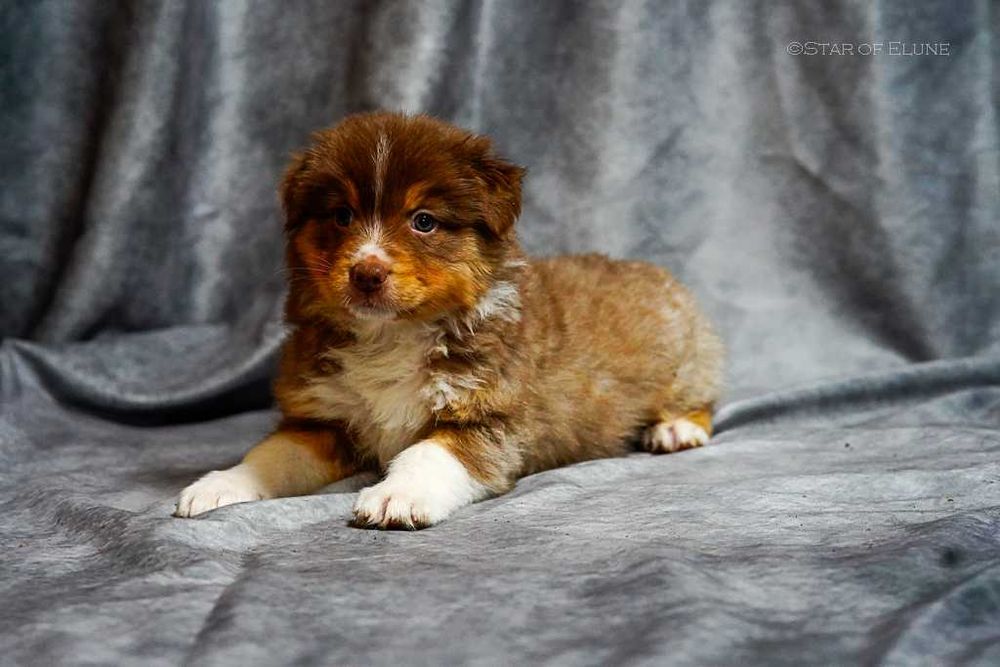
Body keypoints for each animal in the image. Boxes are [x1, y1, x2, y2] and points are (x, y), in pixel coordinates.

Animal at [175, 112, 724, 529]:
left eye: (424, 221)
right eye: (341, 215)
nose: (366, 272)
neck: (392, 334)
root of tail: (654, 271)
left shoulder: (489, 415)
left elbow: (430, 452)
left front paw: (397, 495)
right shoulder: (322, 419)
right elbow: (270, 456)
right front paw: (218, 485)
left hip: (688, 360)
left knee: (702, 400)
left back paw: (676, 430)